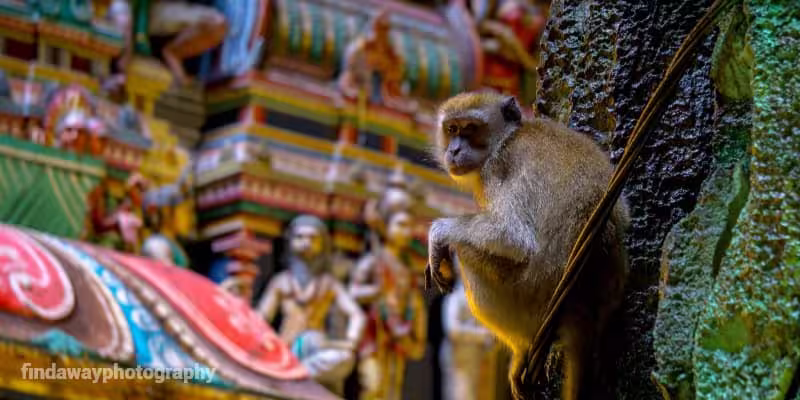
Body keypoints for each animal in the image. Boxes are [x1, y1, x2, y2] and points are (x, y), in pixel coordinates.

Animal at [425, 91, 629, 400]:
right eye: (452, 129)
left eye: (470, 129)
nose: (455, 150)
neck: (508, 137)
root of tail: (580, 306)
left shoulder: (497, 169)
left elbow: (513, 236)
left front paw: (438, 234)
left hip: (526, 298)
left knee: (468, 253)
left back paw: (521, 348)